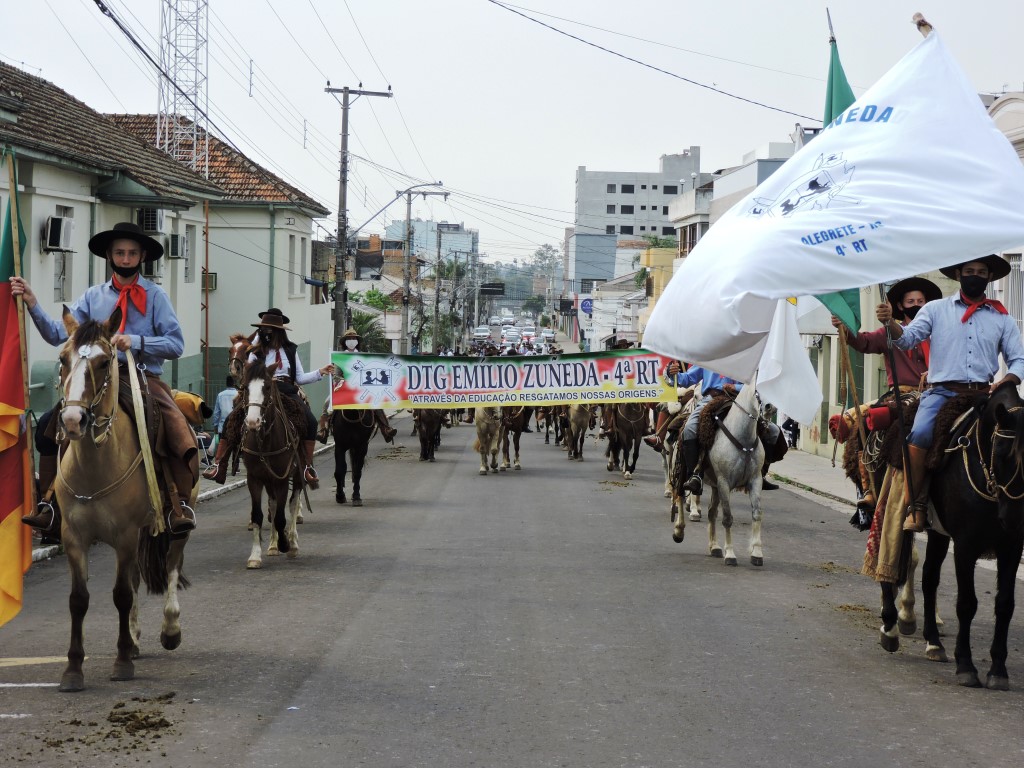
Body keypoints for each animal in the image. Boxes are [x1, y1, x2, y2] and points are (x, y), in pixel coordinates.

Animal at [52, 309, 192, 696]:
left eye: (104, 362)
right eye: (63, 359)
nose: (73, 420)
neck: (95, 466)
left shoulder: (126, 535)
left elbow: (120, 595)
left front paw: (122, 663)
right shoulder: (74, 538)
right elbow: (79, 599)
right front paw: (73, 669)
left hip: (174, 521)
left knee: (172, 564)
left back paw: (169, 630)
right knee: (134, 579)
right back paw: (133, 637)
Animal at [237, 358, 301, 569]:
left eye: (266, 387)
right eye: (245, 387)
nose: (252, 421)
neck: (265, 441)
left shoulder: (282, 480)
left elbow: (281, 517)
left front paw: (285, 543)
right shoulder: (255, 479)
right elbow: (259, 515)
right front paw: (255, 556)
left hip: (297, 475)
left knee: (293, 504)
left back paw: (292, 543)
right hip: (269, 481)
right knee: (272, 506)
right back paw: (273, 545)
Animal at [675, 376, 765, 569]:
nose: (769, 407)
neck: (743, 438)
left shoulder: (755, 481)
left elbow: (756, 514)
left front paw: (756, 553)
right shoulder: (725, 482)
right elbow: (727, 518)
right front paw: (730, 554)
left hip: (715, 486)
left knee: (711, 512)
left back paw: (714, 547)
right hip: (685, 472)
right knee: (679, 495)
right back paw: (678, 531)